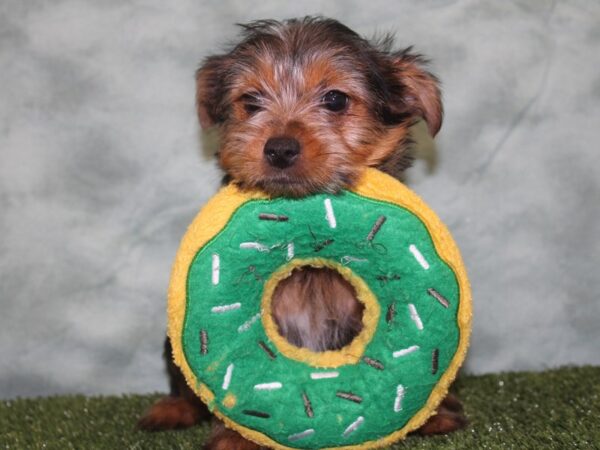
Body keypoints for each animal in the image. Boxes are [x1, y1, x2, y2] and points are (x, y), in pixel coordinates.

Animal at [138, 15, 466, 448]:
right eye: (251, 101)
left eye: (335, 100)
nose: (279, 148)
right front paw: (235, 436)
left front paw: (435, 415)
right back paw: (172, 408)